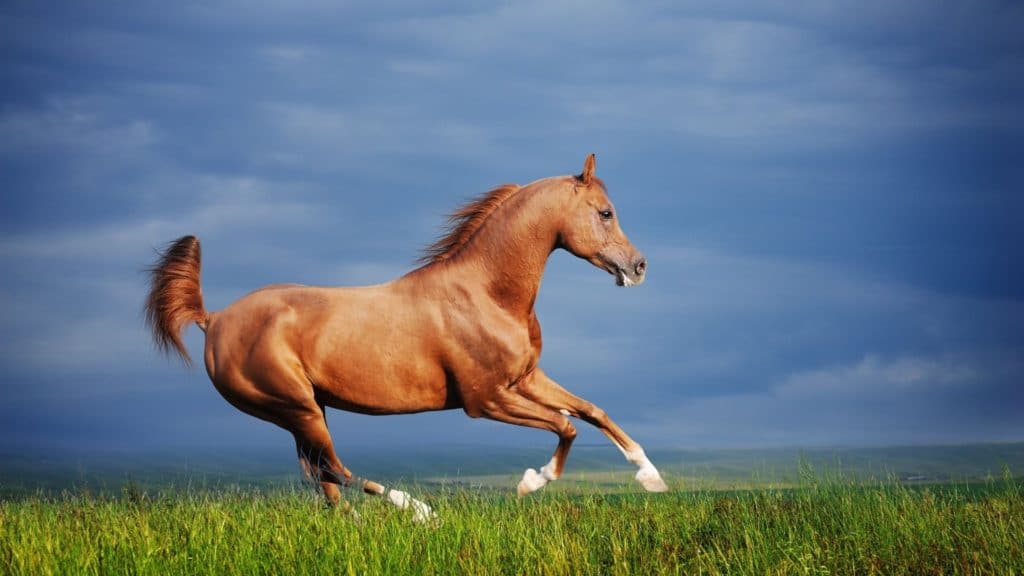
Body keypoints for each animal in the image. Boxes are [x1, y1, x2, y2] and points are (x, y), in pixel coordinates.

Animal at [148, 153, 667, 520]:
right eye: (605, 212)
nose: (639, 266)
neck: (486, 293)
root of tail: (214, 319)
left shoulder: (525, 379)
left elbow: (592, 411)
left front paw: (651, 477)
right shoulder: (486, 400)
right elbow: (566, 425)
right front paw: (531, 482)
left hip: (305, 411)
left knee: (324, 480)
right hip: (293, 407)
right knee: (333, 469)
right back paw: (418, 510)